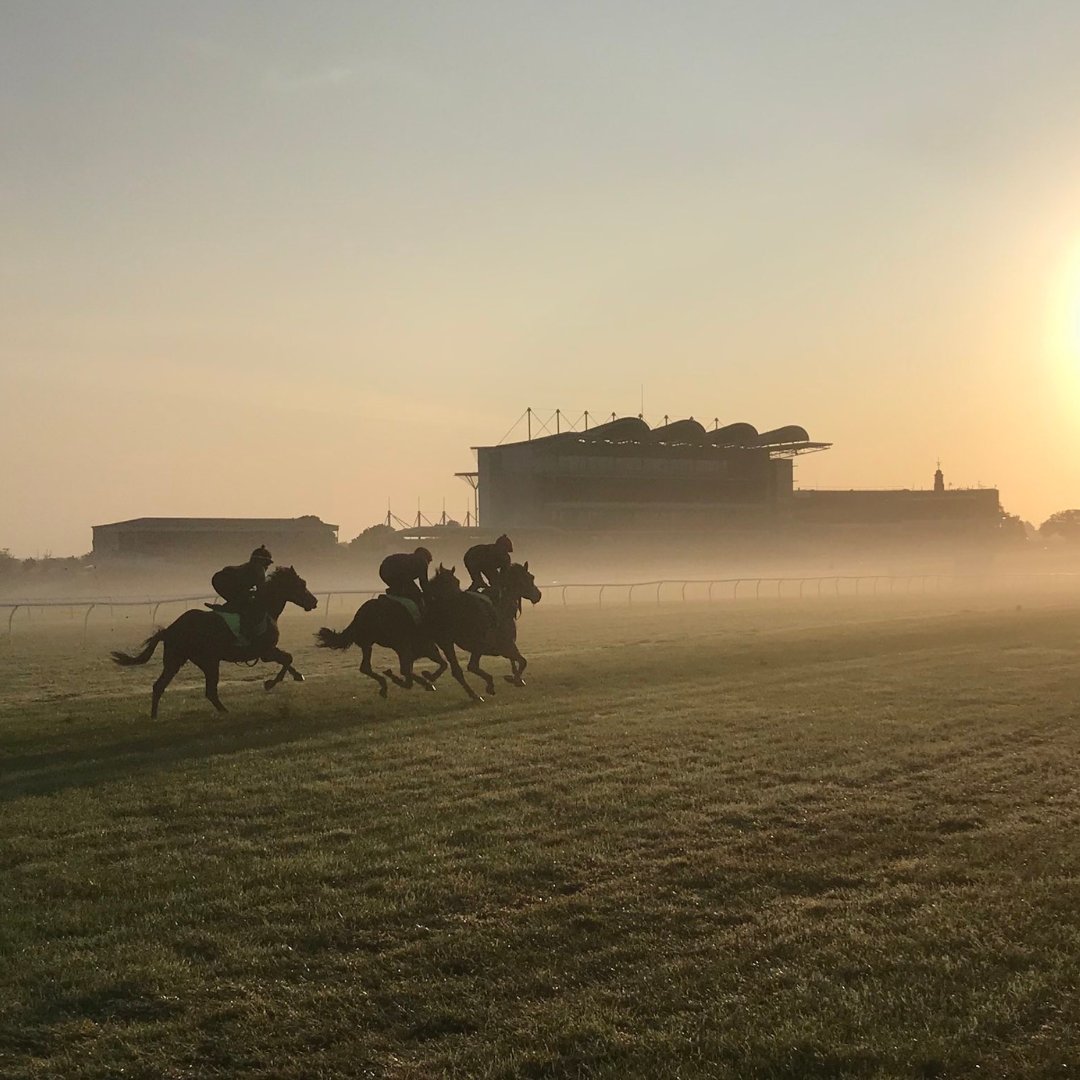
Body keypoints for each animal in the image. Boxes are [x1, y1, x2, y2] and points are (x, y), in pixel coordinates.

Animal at [111, 565, 317, 717]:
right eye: (300, 584)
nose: (314, 602)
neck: (265, 607)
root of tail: (170, 629)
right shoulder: (265, 651)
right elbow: (287, 658)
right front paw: (271, 683)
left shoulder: (268, 650)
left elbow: (288, 659)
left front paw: (297, 675)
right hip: (208, 661)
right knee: (208, 691)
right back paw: (226, 712)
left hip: (177, 660)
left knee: (160, 686)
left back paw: (154, 717)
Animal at [313, 591, 447, 699]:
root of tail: (361, 614)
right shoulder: (422, 646)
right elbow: (440, 665)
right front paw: (427, 679)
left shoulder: (421, 649)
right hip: (395, 642)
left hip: (369, 643)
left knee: (366, 667)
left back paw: (384, 685)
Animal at [421, 565, 540, 699]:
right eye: (531, 577)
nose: (538, 595)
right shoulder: (506, 645)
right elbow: (523, 661)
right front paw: (515, 679)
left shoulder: (504, 647)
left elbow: (517, 660)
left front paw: (515, 678)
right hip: (477, 643)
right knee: (471, 666)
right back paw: (488, 685)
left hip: (447, 643)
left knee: (457, 670)